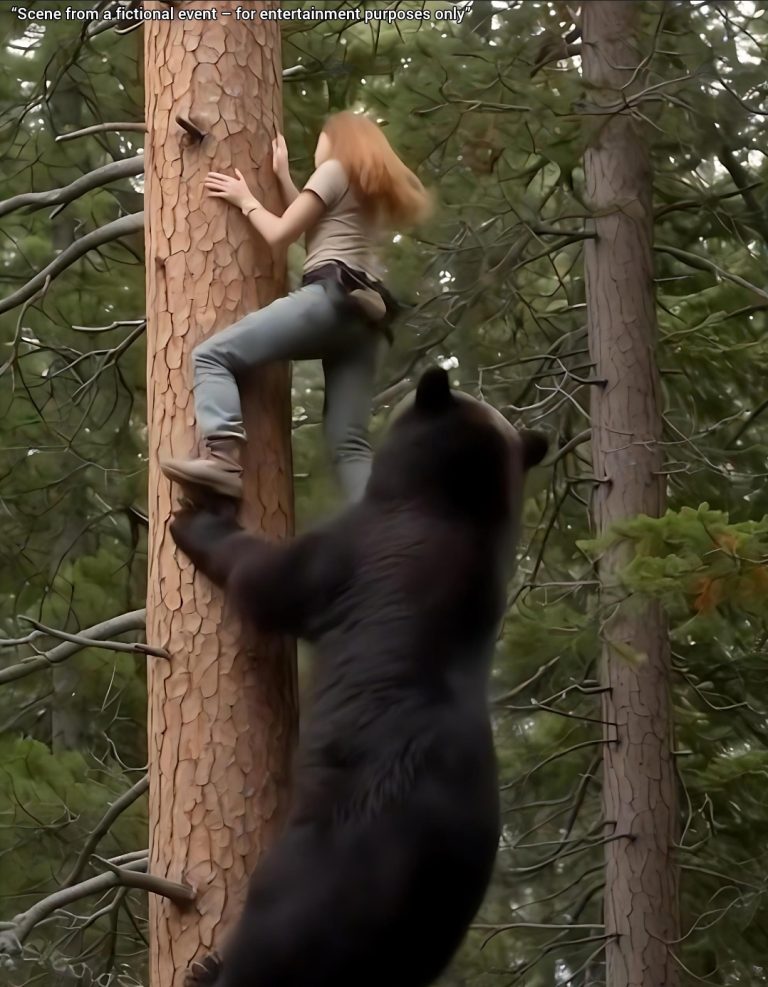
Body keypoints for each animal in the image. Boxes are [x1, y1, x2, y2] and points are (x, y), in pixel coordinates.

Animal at [169, 367, 548, 987]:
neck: (454, 507)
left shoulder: (351, 552)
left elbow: (268, 578)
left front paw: (198, 521)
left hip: (321, 862)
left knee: (274, 933)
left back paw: (212, 967)